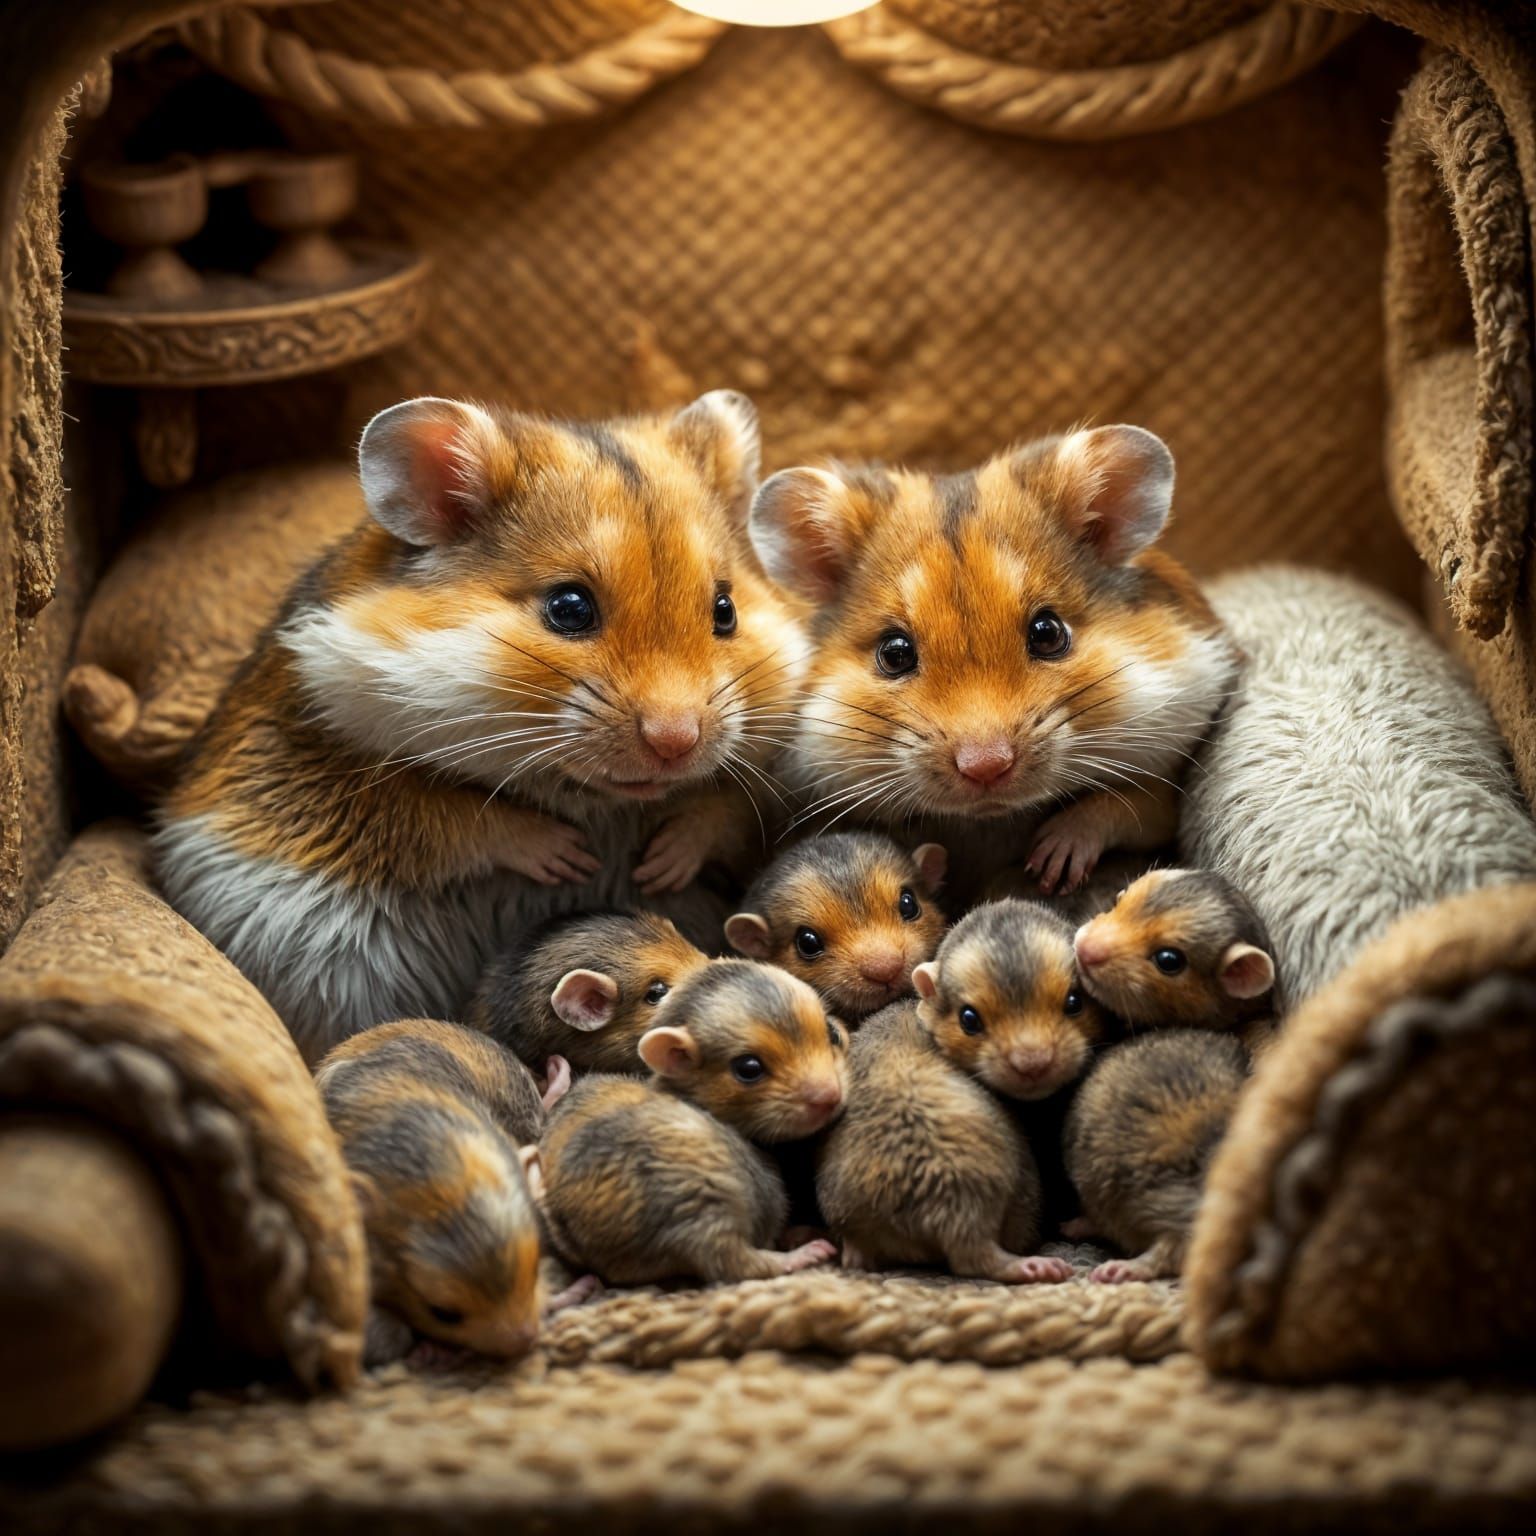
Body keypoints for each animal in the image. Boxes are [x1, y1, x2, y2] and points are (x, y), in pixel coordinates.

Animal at [747, 426, 1237, 907]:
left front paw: (1050, 866)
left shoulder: (1167, 783)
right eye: (894, 653)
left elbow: (1124, 804)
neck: (990, 820)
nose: (986, 768)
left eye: (1048, 632)